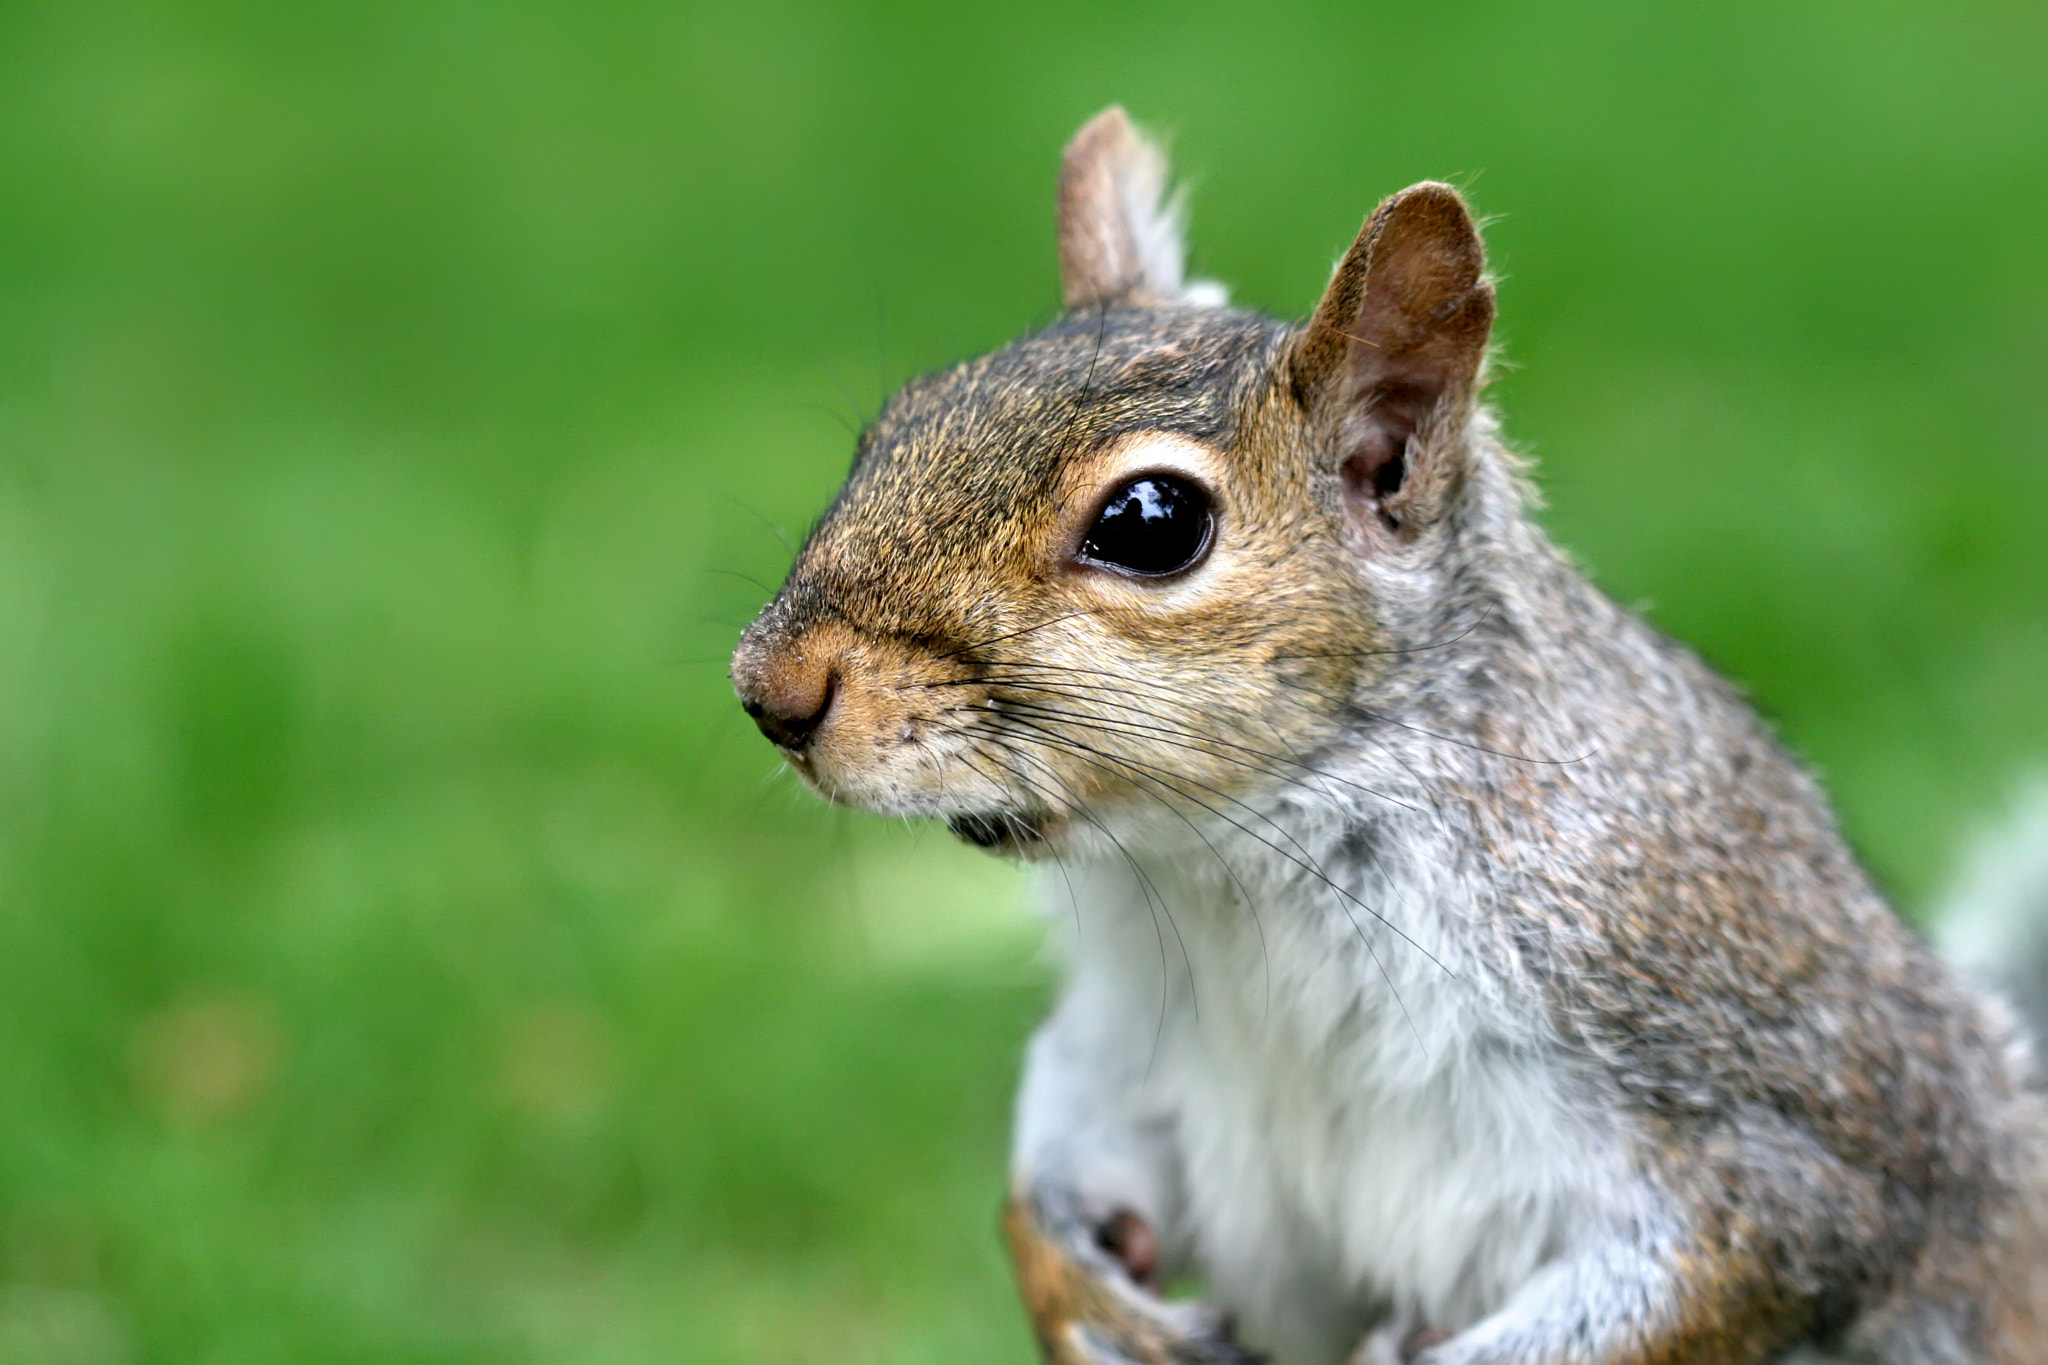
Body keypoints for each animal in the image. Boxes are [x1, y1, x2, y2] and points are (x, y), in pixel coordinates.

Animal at [730, 106, 2048, 1364]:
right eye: (892, 426)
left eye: (1152, 521)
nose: (769, 689)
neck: (1233, 873)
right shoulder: (1131, 1041)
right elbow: (1057, 1159)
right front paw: (1075, 1289)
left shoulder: (1751, 1103)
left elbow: (1753, 1248)